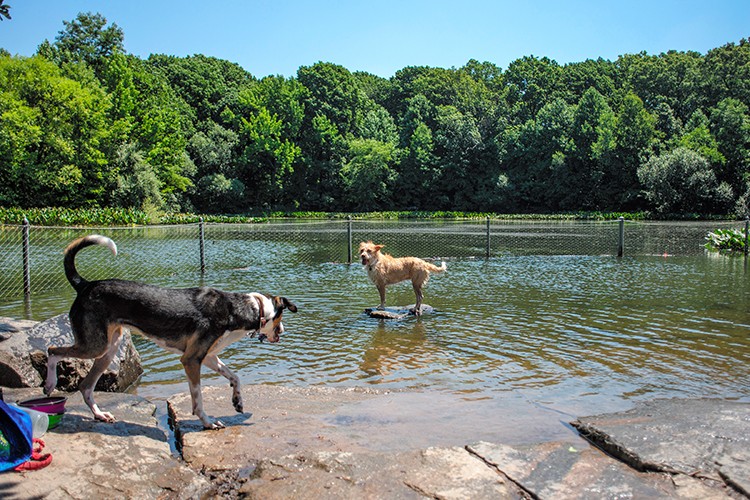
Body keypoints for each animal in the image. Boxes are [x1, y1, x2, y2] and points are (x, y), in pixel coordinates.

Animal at [43, 236, 296, 428]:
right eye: (280, 318)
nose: (283, 330)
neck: (243, 307)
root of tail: (85, 285)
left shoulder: (208, 356)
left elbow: (235, 377)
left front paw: (237, 401)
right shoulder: (191, 360)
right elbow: (198, 399)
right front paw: (208, 422)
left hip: (107, 350)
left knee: (86, 387)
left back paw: (99, 414)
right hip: (94, 346)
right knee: (52, 349)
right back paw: (49, 384)